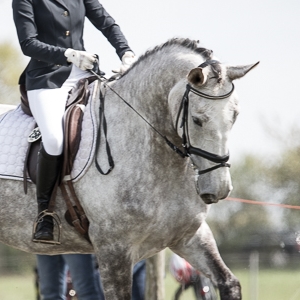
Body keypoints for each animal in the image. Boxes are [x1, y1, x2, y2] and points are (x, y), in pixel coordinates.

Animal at [0, 38, 258, 298]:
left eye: (235, 116)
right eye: (197, 119)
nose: (219, 188)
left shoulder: (190, 237)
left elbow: (229, 283)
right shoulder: (114, 249)